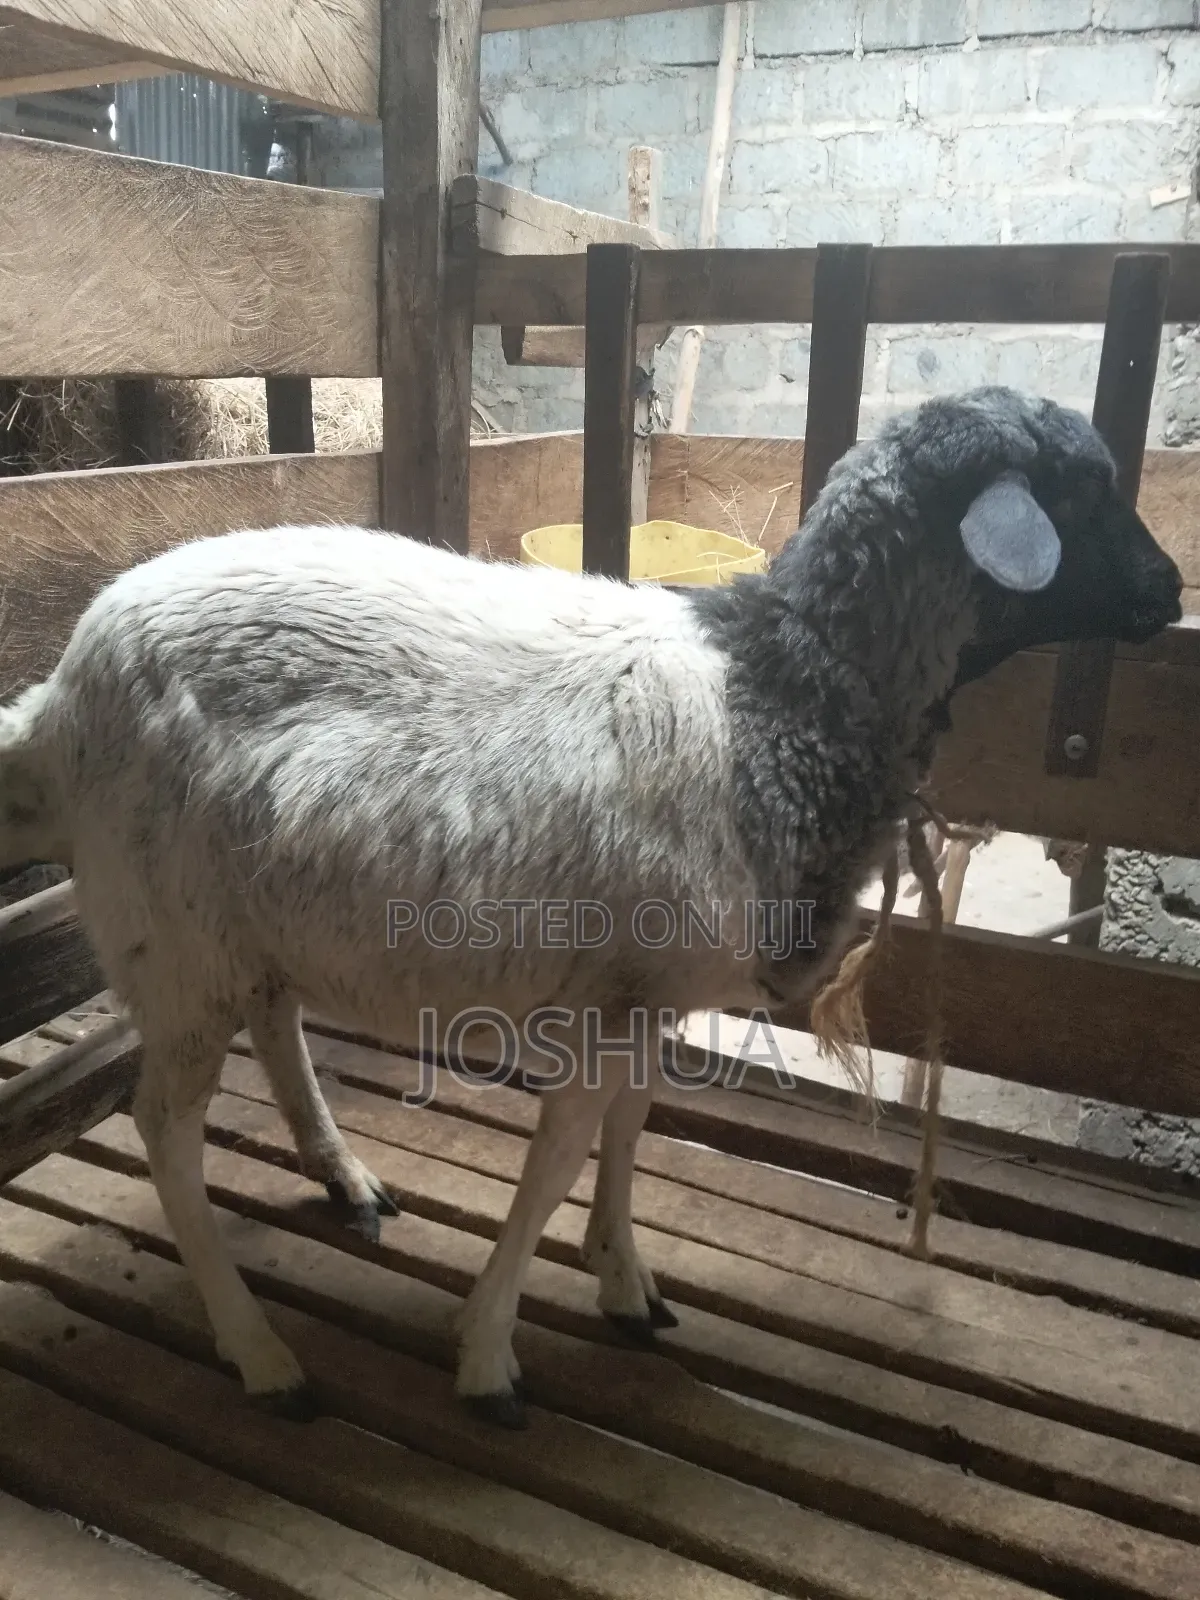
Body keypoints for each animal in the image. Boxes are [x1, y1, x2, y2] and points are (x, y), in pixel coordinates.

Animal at [0, 385, 1182, 1429]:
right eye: (1084, 492)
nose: (1171, 593)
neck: (781, 699)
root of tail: (57, 701)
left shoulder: (649, 994)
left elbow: (629, 1126)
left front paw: (625, 1280)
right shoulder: (607, 1006)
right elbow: (561, 1158)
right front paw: (489, 1357)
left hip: (242, 921)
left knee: (278, 1024)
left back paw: (345, 1180)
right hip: (173, 939)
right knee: (164, 1128)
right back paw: (258, 1351)